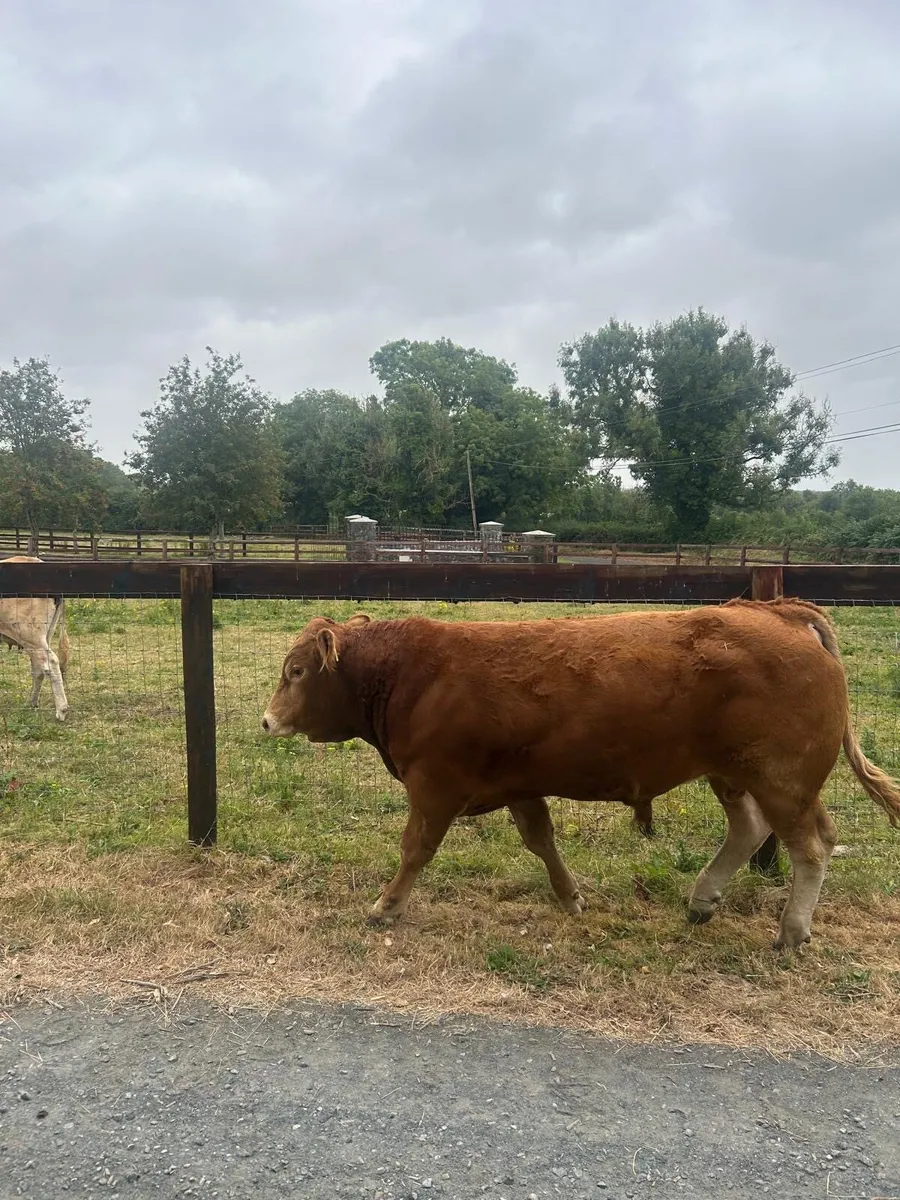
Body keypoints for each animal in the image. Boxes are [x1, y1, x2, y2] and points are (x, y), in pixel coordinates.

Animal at [0, 556, 70, 721]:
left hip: (32, 635)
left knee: (51, 663)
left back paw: (61, 710)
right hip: (43, 635)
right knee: (39, 667)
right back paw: (31, 702)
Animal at [261, 600, 900, 950]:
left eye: (296, 671)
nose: (267, 720)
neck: (410, 673)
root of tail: (779, 611)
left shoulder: (435, 785)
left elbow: (415, 849)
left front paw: (386, 906)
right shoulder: (519, 785)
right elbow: (541, 839)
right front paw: (570, 897)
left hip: (781, 779)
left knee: (810, 846)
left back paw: (791, 929)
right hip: (736, 774)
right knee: (749, 829)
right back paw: (703, 899)